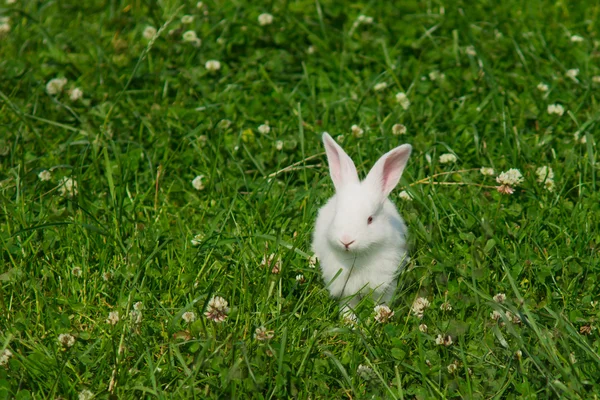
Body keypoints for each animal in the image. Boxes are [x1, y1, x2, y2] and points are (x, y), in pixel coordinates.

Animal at [310, 133, 412, 310]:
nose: (346, 240)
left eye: (370, 219)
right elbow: (348, 305)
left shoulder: (384, 284)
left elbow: (381, 302)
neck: (357, 257)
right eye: (336, 214)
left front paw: (381, 312)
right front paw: (348, 317)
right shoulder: (345, 290)